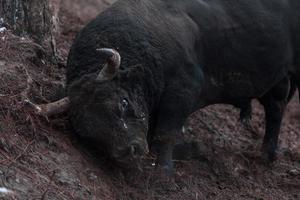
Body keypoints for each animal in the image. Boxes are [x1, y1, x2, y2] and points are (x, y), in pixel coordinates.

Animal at [65, 0, 300, 172]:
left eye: (122, 103)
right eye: (91, 134)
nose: (131, 149)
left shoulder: (182, 92)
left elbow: (166, 133)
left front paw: (164, 171)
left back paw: (268, 154)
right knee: (276, 107)